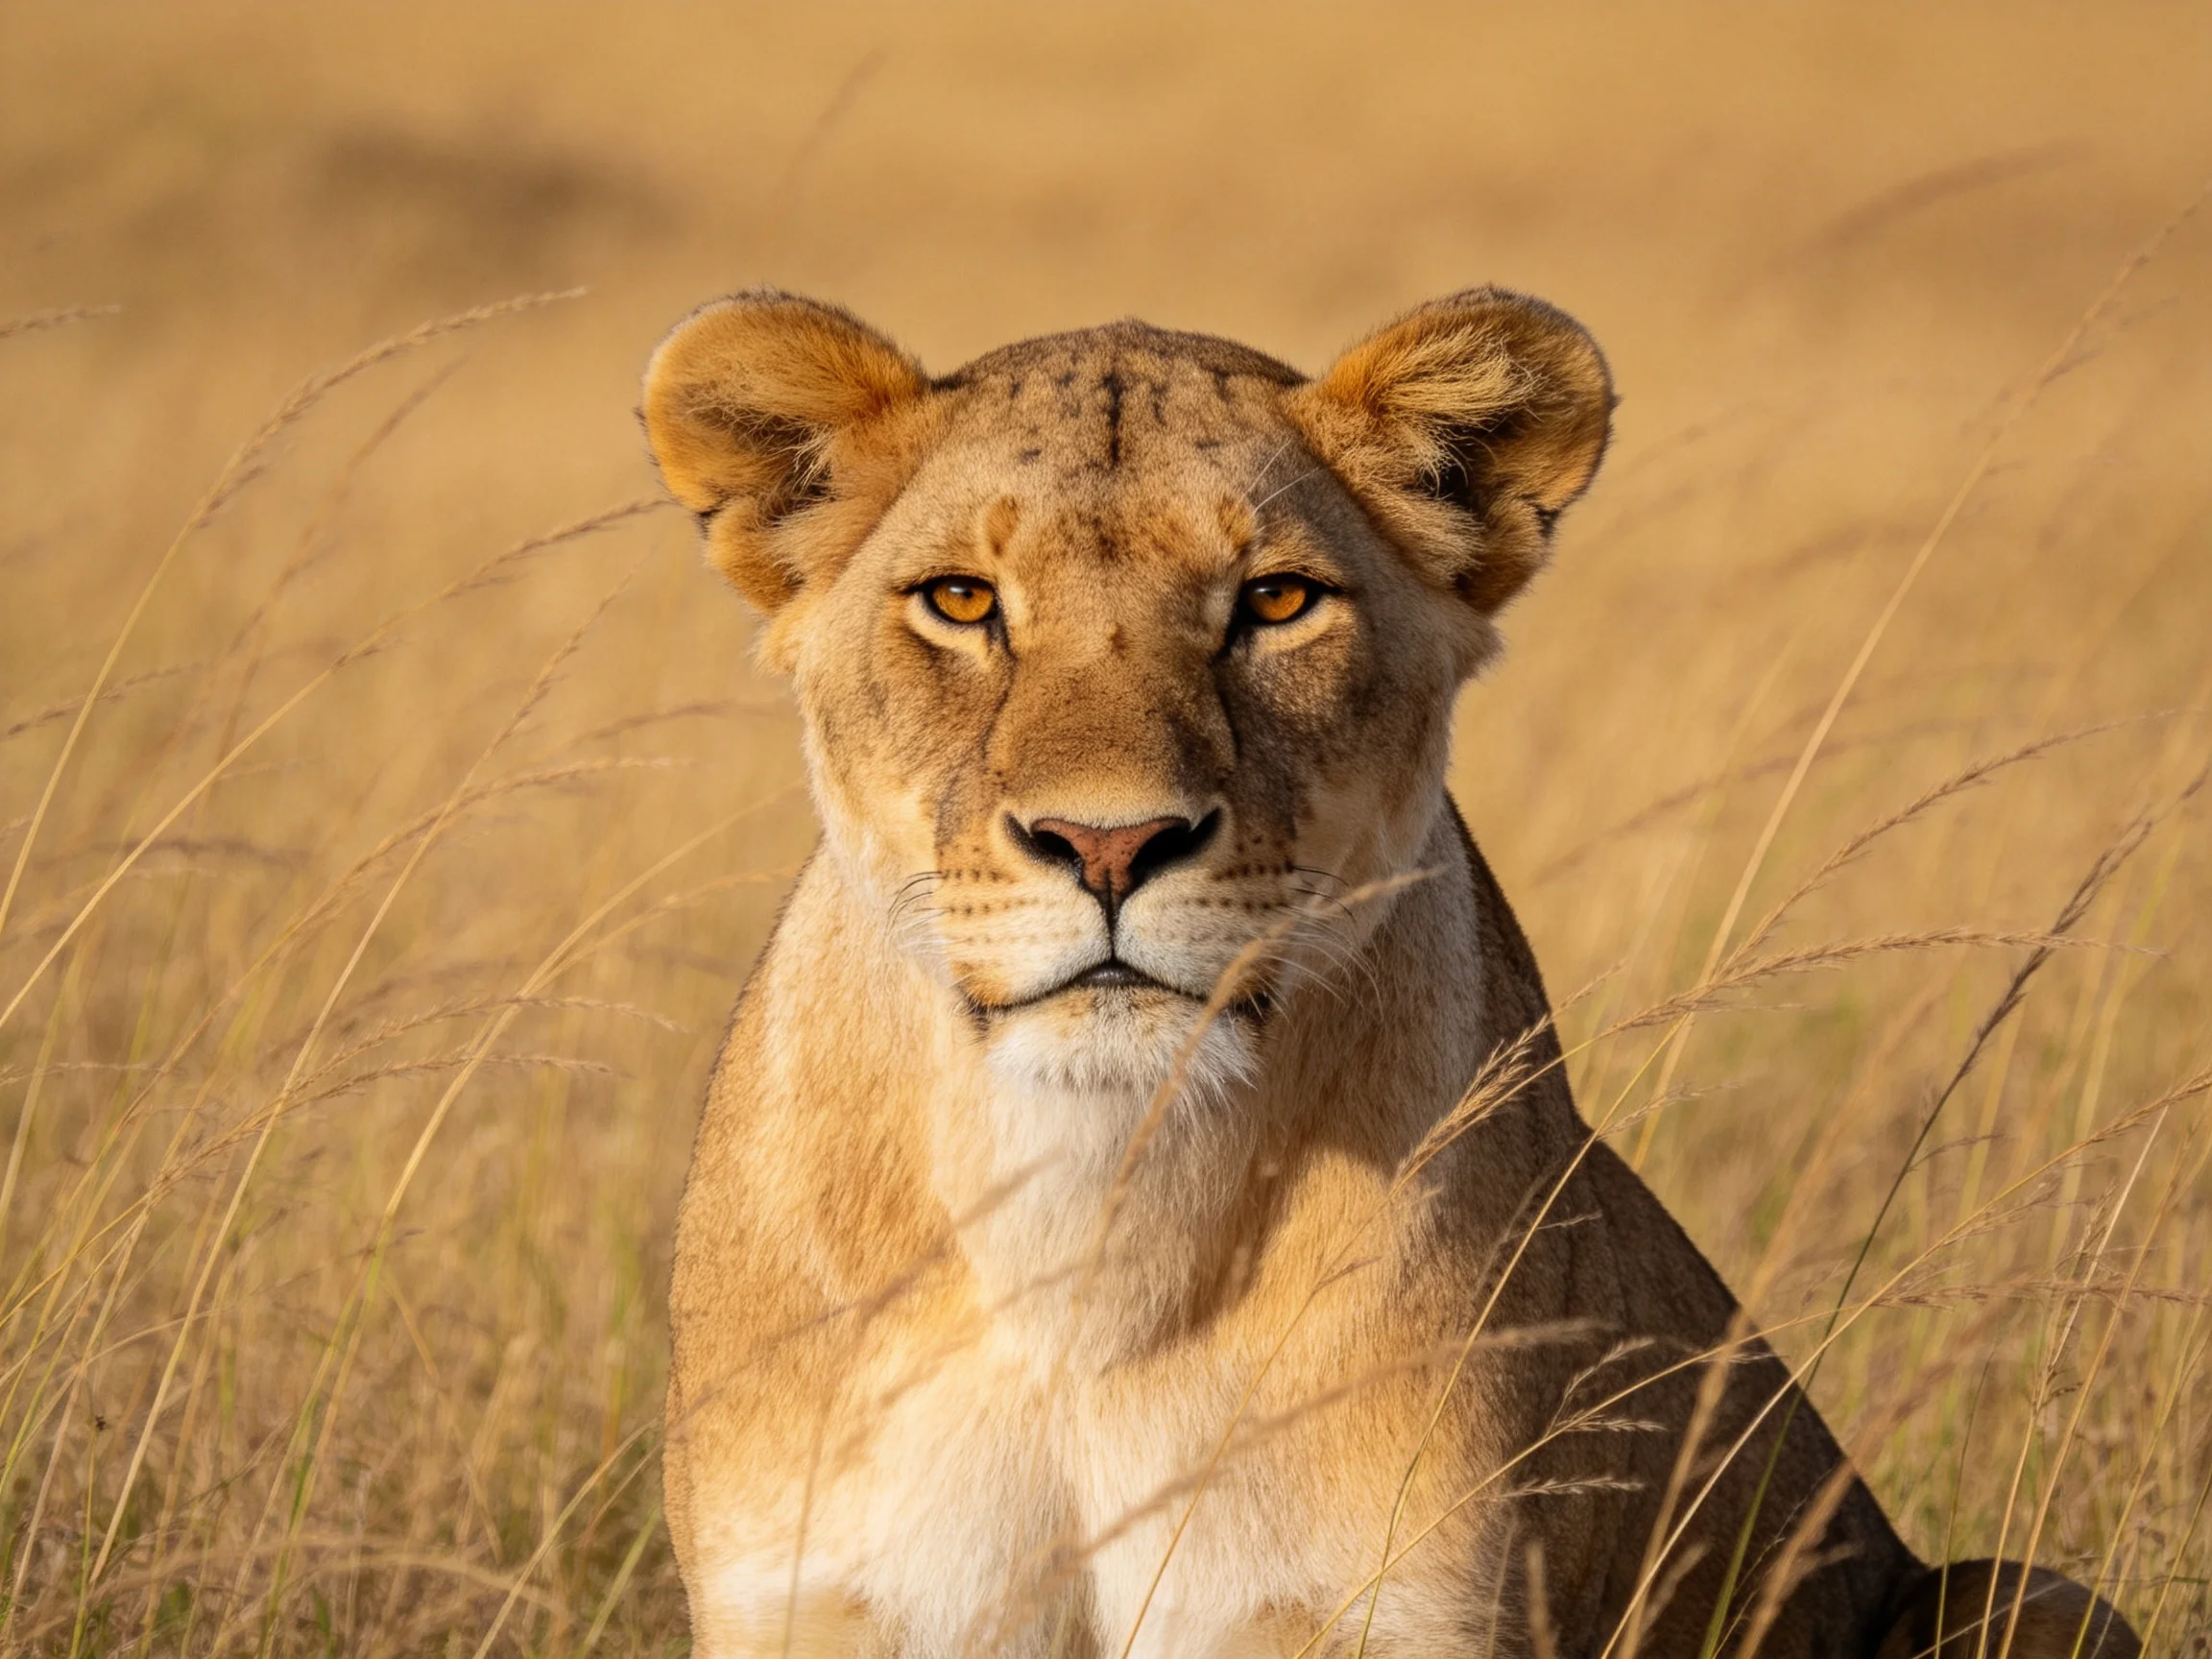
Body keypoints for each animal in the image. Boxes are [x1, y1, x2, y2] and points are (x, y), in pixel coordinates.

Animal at [639, 288, 2140, 1659]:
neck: (1093, 1223)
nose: (1110, 843)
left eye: (1276, 601)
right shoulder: (807, 1599)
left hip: (2031, 1592)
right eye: (959, 601)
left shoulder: (1388, 1608)